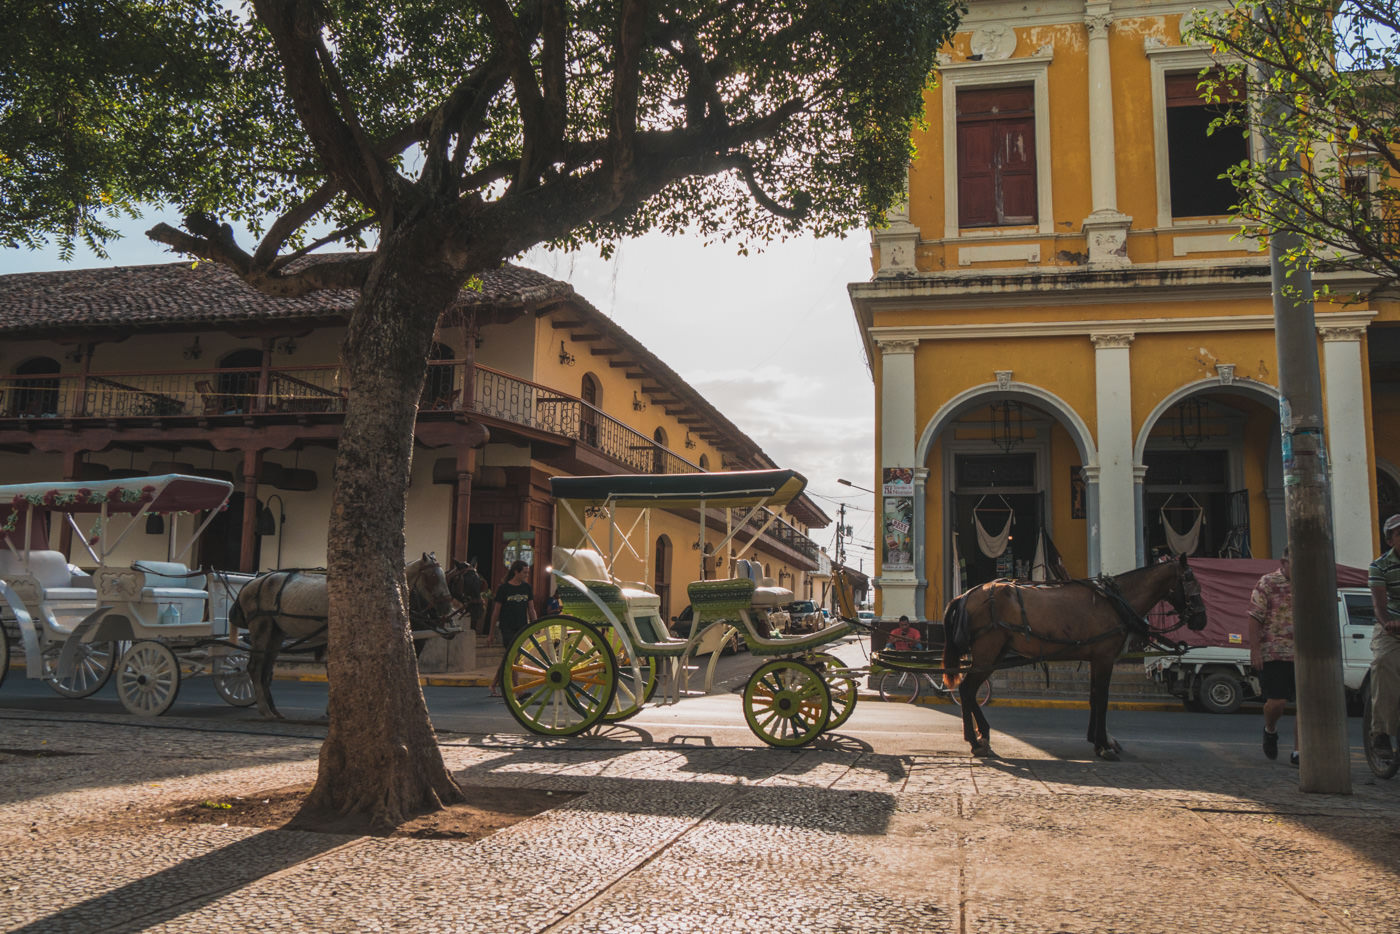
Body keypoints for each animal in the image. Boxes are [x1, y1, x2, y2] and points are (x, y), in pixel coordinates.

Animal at [233, 551, 453, 722]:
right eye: (432, 577)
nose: (447, 609)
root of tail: (251, 583)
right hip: (261, 626)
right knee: (255, 667)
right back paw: (265, 710)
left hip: (276, 632)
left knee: (266, 669)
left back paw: (274, 710)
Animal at [940, 554, 1204, 761]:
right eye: (1191, 580)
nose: (1201, 619)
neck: (1116, 602)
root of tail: (966, 595)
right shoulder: (1105, 657)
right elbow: (1102, 699)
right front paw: (1104, 746)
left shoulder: (1096, 658)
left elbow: (1094, 698)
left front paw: (1097, 740)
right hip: (988, 651)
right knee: (967, 689)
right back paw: (975, 740)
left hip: (995, 652)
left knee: (969, 691)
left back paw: (981, 735)